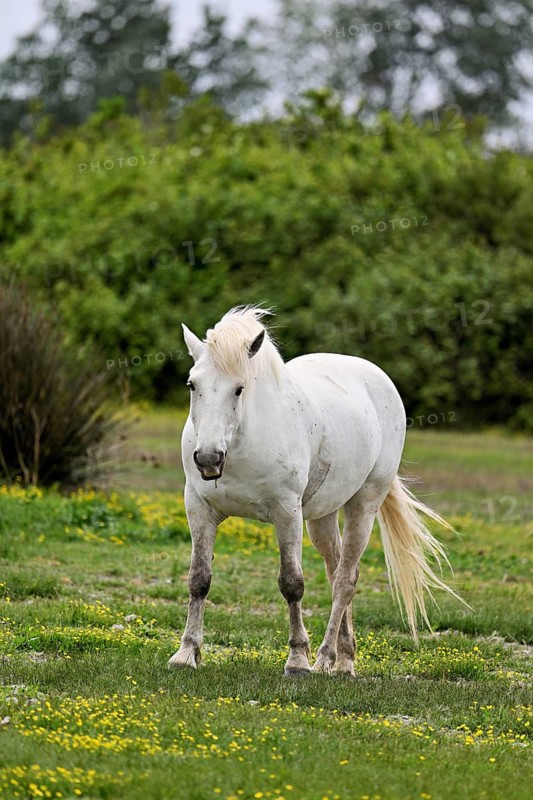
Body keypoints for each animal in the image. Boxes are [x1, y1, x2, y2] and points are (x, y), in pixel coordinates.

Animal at [168, 306, 461, 676]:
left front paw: (297, 660)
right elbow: (199, 579)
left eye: (239, 389)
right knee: (336, 572)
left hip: (363, 505)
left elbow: (291, 583)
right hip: (323, 516)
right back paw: (342, 658)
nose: (208, 459)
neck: (243, 441)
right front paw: (186, 653)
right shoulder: (199, 509)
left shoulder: (286, 513)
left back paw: (327, 659)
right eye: (192, 385)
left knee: (345, 580)